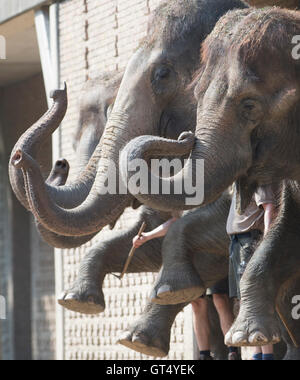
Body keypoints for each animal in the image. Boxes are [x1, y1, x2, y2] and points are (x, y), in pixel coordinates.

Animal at [118, 5, 300, 348]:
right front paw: (247, 336)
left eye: (249, 104)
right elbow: (284, 229)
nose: (185, 136)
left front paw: (246, 338)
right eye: (196, 95)